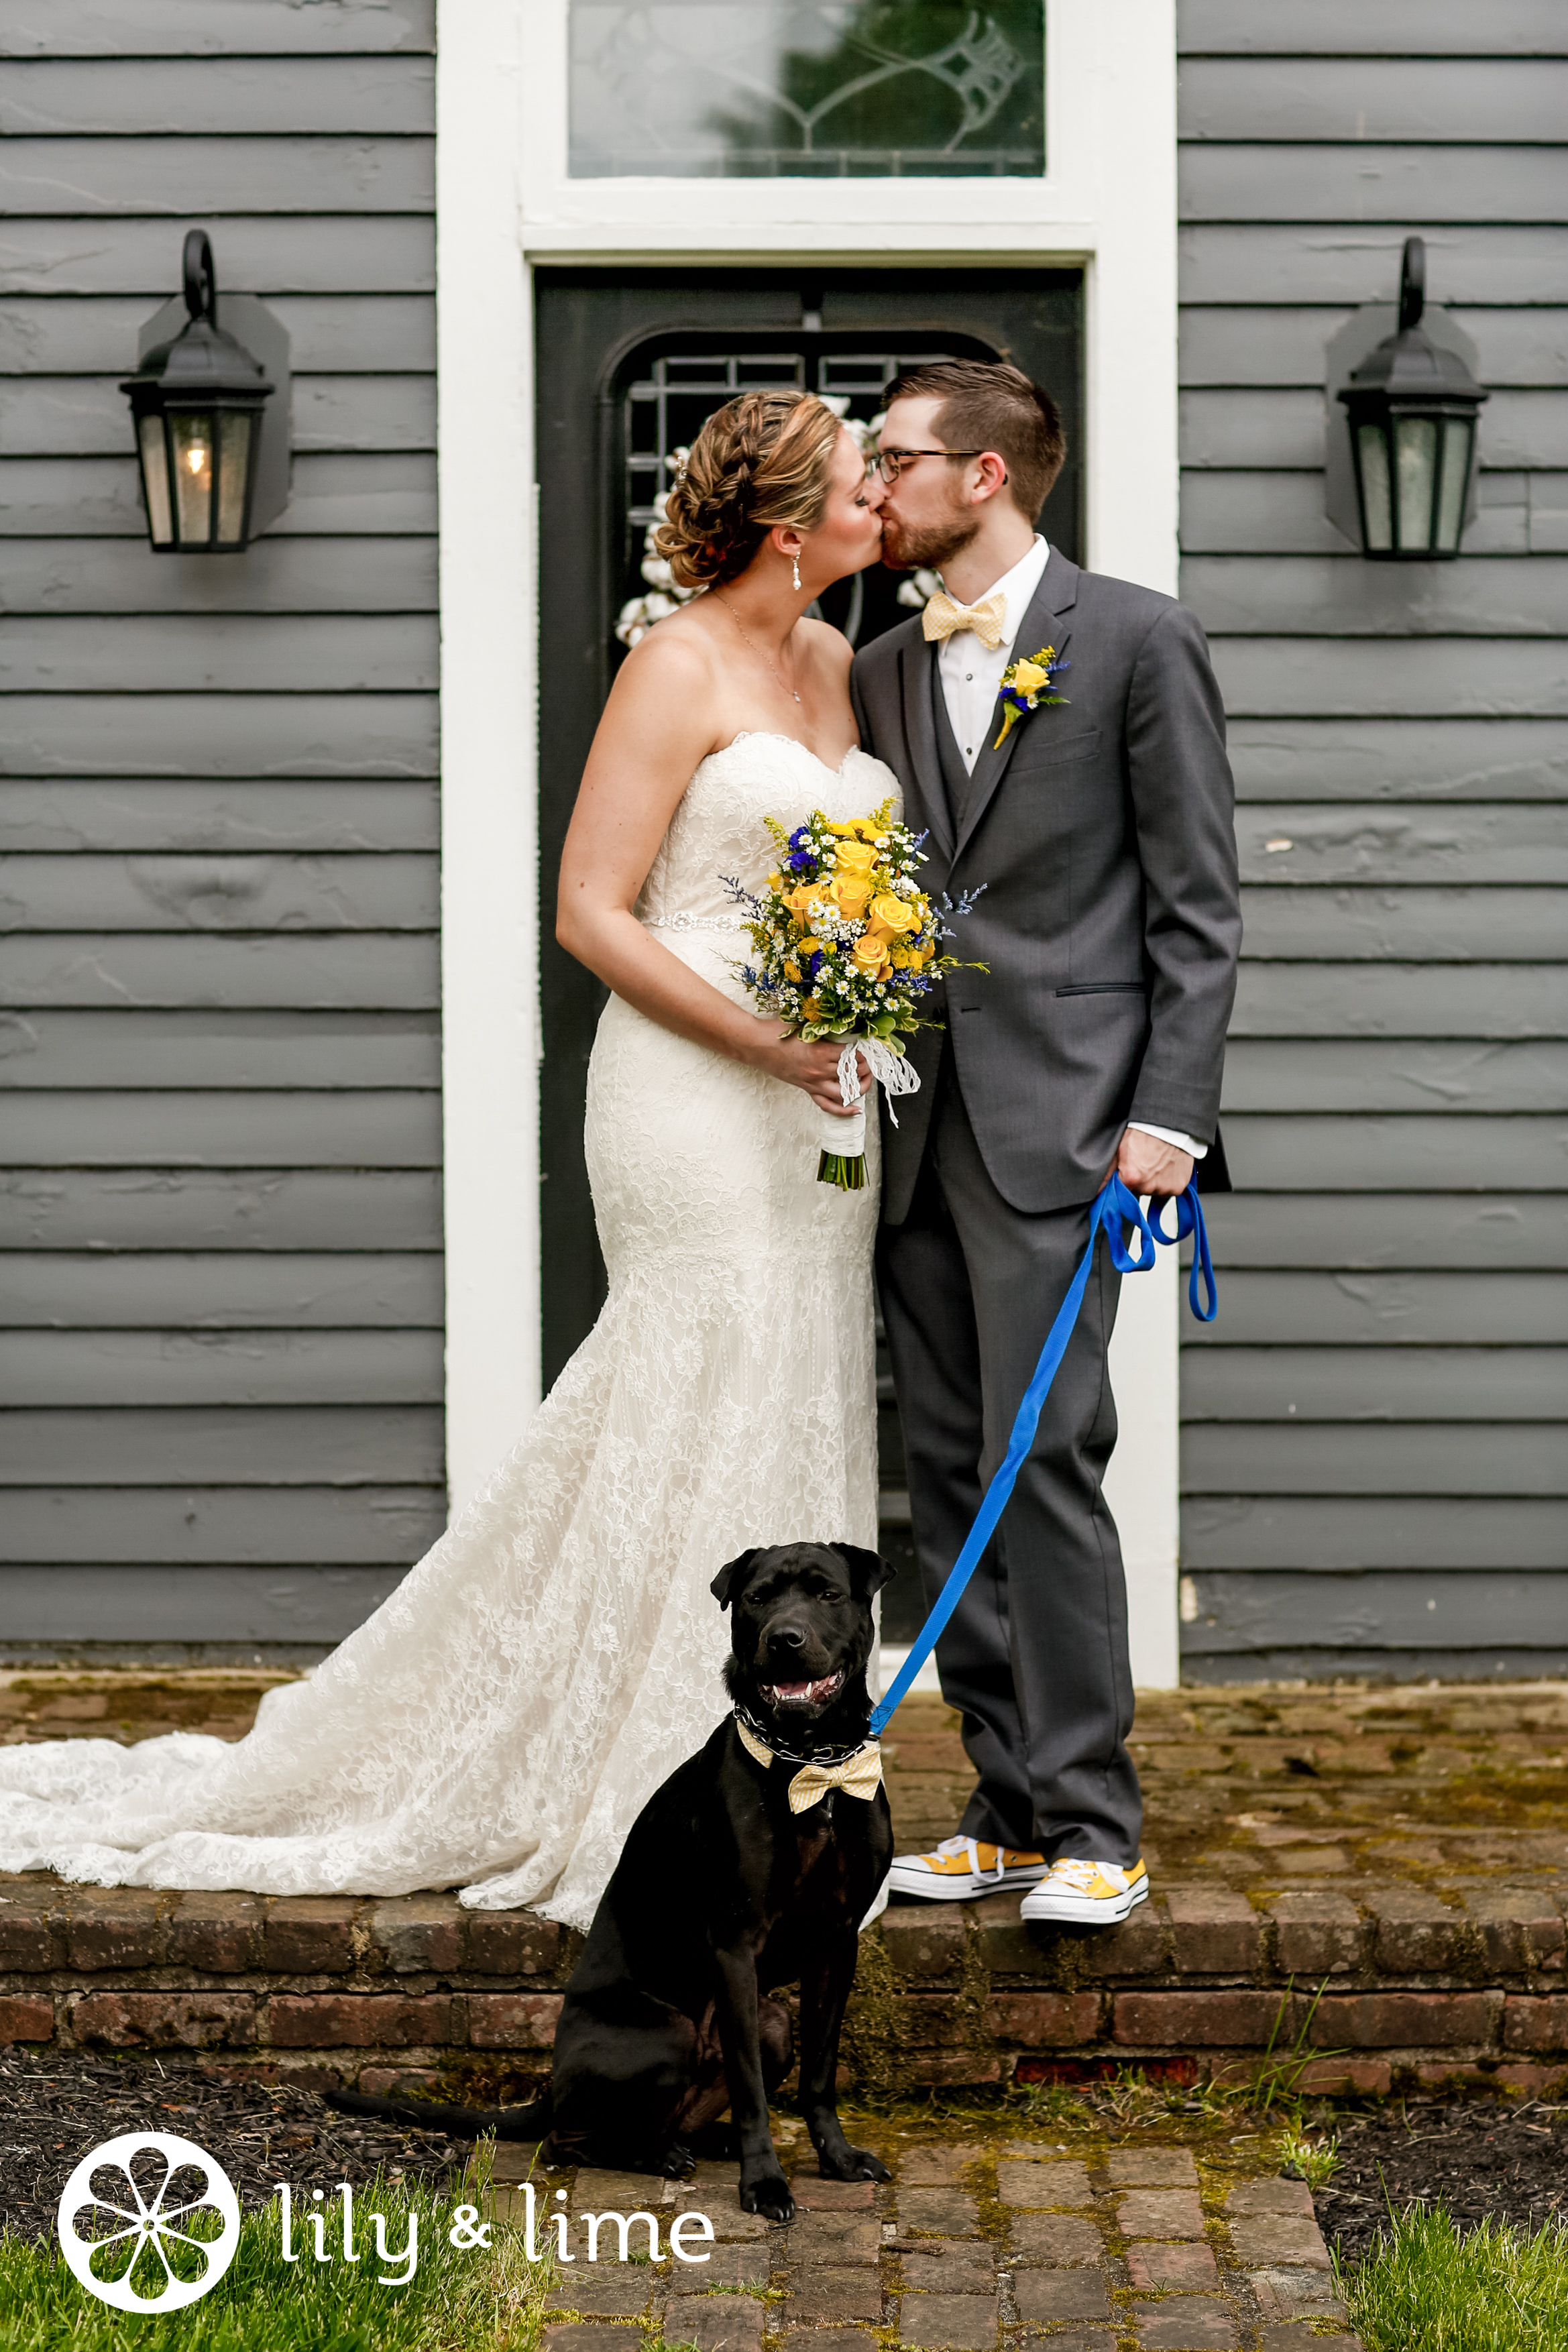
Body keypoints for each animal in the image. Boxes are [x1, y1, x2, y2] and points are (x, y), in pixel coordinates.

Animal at [331, 1533, 893, 2210]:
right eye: (758, 1598)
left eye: (827, 1594)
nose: (784, 1637)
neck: (812, 1765)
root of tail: (552, 2085)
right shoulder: (736, 1943)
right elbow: (754, 2091)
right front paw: (763, 2180)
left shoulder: (837, 1940)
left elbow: (819, 2073)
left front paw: (837, 2157)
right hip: (666, 2032)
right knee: (568, 2141)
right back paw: (660, 2155)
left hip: (772, 2022)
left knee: (672, 2116)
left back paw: (701, 2143)